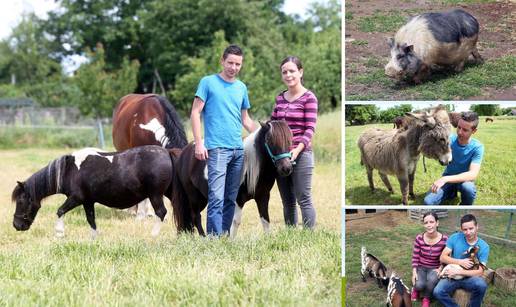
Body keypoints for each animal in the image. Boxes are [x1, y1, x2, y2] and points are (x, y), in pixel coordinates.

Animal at [11, 146, 175, 238]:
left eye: (21, 201)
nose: (17, 225)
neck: (70, 170)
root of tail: (166, 152)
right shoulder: (88, 201)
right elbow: (91, 219)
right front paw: (95, 238)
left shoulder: (76, 198)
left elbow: (60, 211)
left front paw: (59, 233)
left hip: (155, 195)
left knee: (161, 212)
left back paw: (153, 235)